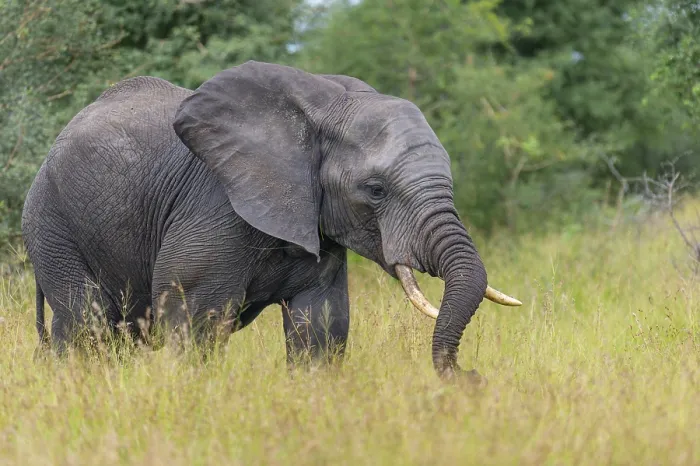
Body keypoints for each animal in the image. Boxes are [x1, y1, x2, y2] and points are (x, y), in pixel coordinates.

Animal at [21, 60, 521, 379]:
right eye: (376, 190)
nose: (472, 376)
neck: (322, 110)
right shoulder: (214, 205)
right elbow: (195, 318)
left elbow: (321, 323)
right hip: (51, 222)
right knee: (88, 322)